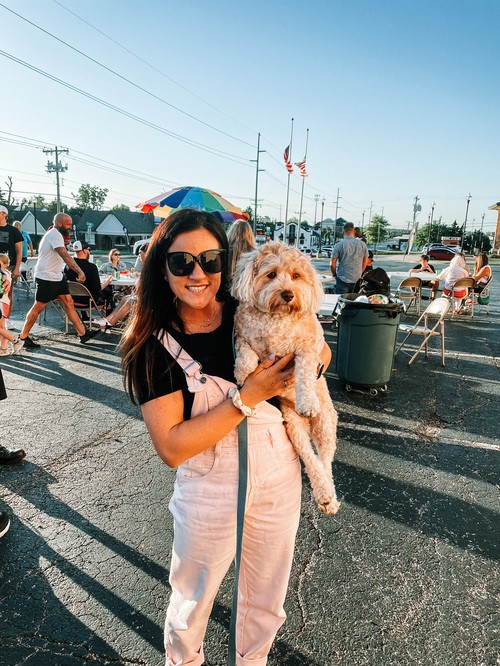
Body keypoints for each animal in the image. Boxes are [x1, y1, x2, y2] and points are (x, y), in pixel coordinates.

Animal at [231, 242, 340, 514]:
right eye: (271, 274)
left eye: (297, 276)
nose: (288, 294)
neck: (277, 317)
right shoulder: (242, 334)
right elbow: (246, 354)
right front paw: (242, 371)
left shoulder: (308, 348)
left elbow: (304, 374)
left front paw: (307, 401)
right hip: (294, 428)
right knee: (311, 459)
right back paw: (323, 494)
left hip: (326, 424)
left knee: (325, 461)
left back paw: (328, 495)